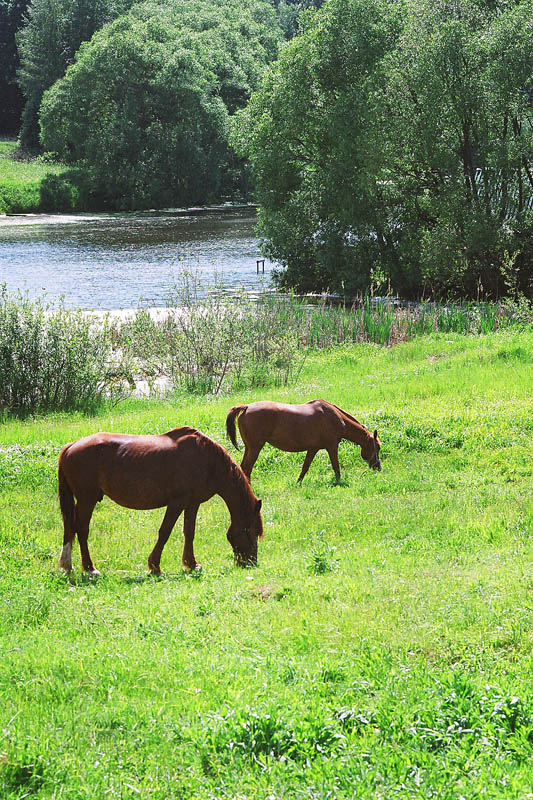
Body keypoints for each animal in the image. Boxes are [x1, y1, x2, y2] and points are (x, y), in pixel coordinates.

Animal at [57, 424, 262, 576]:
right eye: (251, 531)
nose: (250, 562)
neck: (207, 461)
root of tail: (71, 446)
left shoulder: (192, 503)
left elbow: (189, 532)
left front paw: (191, 563)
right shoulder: (176, 503)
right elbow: (165, 532)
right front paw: (155, 566)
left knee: (70, 529)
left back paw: (68, 565)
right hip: (87, 499)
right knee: (81, 530)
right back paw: (90, 568)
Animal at [227, 400, 380, 482]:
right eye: (377, 447)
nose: (378, 468)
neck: (335, 417)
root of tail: (246, 407)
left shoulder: (313, 449)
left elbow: (305, 467)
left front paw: (298, 483)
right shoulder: (332, 446)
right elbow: (336, 466)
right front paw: (339, 481)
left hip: (249, 448)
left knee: (243, 467)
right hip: (255, 448)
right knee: (247, 468)